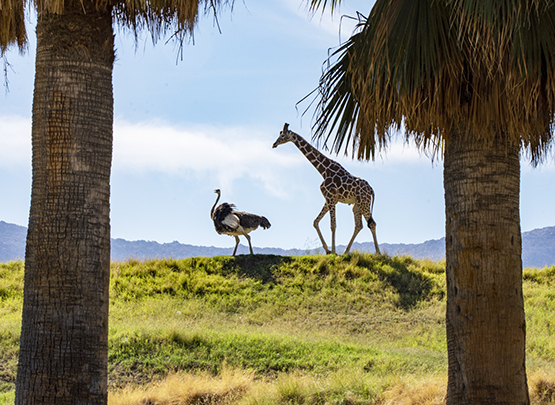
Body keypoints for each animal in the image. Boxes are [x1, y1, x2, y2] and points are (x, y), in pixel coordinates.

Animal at [274, 121, 382, 254]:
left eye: (283, 135)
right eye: (279, 134)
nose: (274, 144)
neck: (323, 170)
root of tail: (371, 190)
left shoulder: (330, 198)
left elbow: (333, 225)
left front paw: (334, 251)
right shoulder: (329, 199)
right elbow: (315, 222)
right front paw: (328, 250)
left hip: (364, 203)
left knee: (372, 224)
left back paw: (378, 253)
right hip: (356, 205)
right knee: (359, 225)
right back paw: (346, 252)